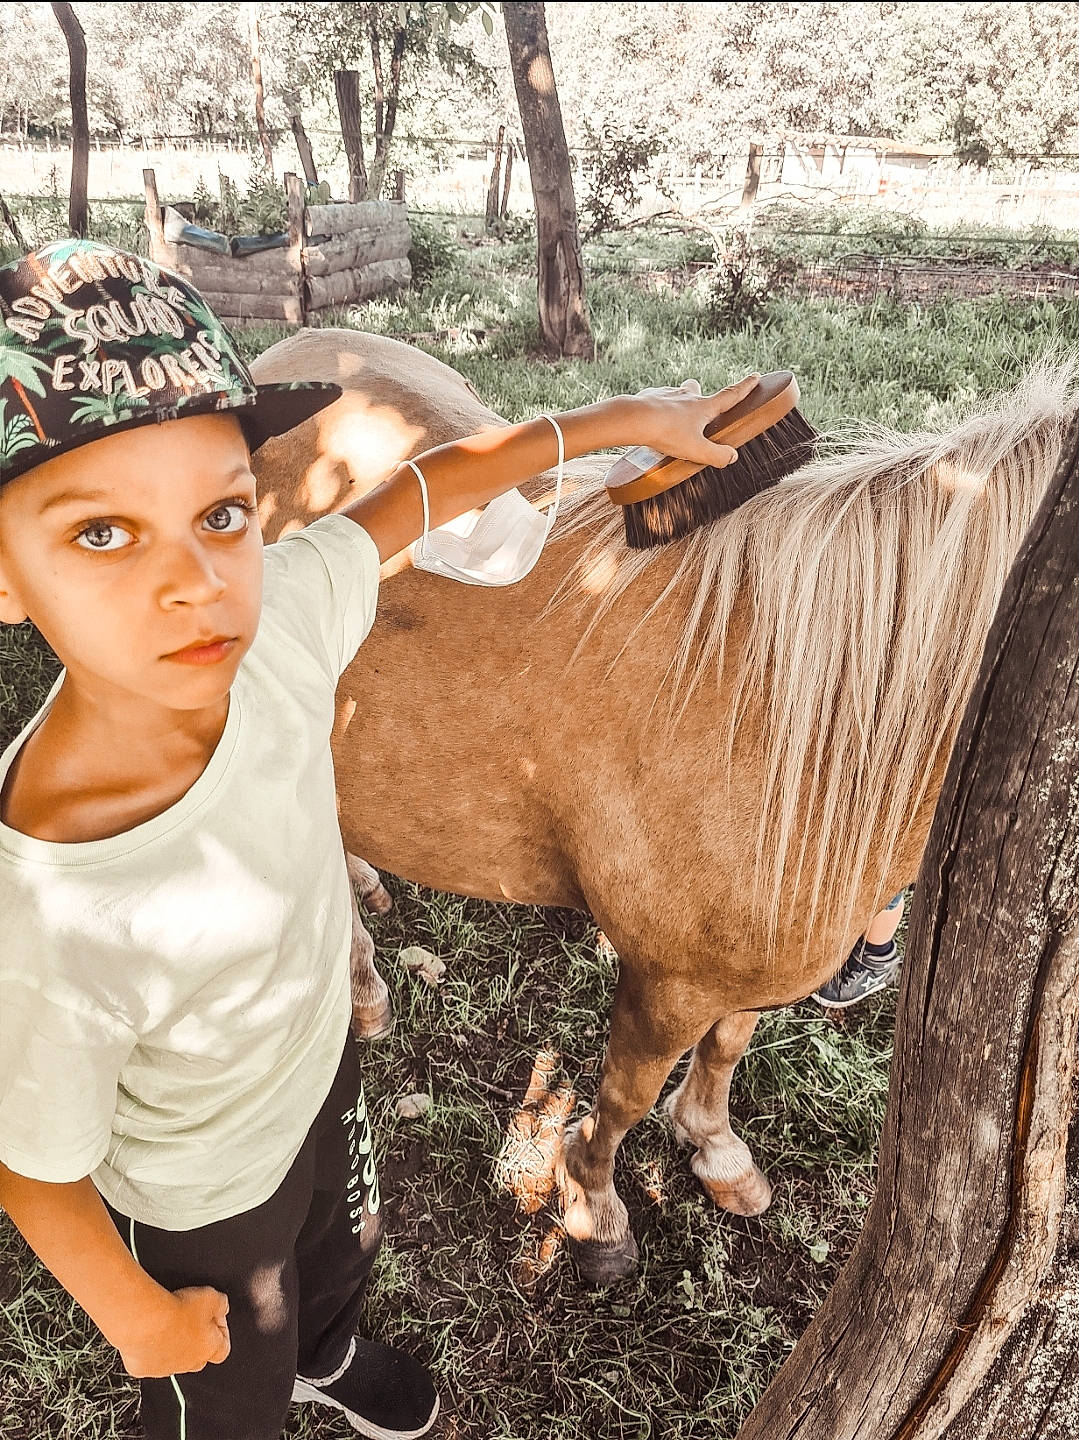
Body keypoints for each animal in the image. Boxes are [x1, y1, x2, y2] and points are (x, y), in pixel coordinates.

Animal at [248, 328, 1073, 1283]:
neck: (795, 712)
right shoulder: (667, 983)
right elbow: (623, 1094)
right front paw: (592, 1205)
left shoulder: (749, 967)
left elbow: (725, 1049)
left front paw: (713, 1149)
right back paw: (362, 984)